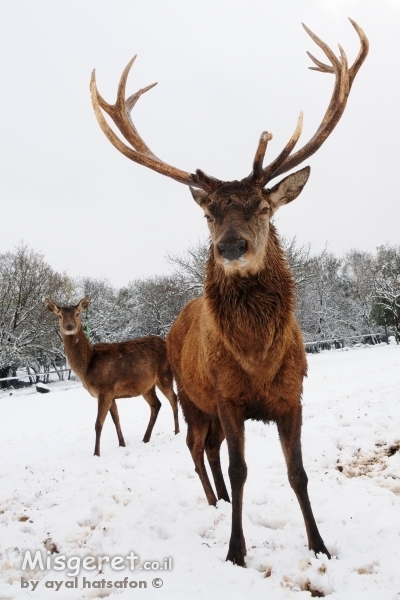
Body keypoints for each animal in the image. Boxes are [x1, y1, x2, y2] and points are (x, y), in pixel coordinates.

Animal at [43, 298, 180, 458]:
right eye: (59, 316)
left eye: (77, 313)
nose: (69, 326)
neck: (87, 367)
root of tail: (167, 342)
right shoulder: (110, 394)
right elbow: (116, 419)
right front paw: (122, 444)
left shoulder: (105, 389)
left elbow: (98, 423)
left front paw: (96, 454)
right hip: (147, 385)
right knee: (156, 404)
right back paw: (146, 438)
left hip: (165, 374)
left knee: (173, 398)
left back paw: (177, 432)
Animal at [90, 18, 368, 564]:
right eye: (208, 213)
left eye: (263, 206)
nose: (230, 246)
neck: (258, 360)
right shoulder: (226, 395)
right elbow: (241, 470)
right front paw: (236, 551)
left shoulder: (292, 395)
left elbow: (299, 474)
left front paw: (320, 546)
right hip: (188, 394)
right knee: (199, 449)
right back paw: (213, 500)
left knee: (211, 450)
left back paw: (217, 499)